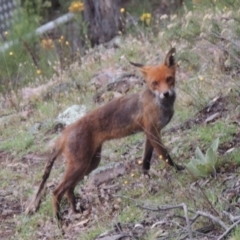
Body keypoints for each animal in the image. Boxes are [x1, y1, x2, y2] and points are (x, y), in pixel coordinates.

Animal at [25, 47, 184, 220]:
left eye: (169, 79)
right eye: (154, 83)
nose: (166, 94)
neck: (160, 104)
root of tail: (64, 133)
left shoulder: (150, 134)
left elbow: (146, 161)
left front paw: (147, 178)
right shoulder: (153, 133)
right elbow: (166, 156)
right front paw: (178, 170)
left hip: (90, 163)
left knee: (68, 189)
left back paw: (76, 211)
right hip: (80, 165)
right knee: (56, 191)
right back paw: (59, 219)